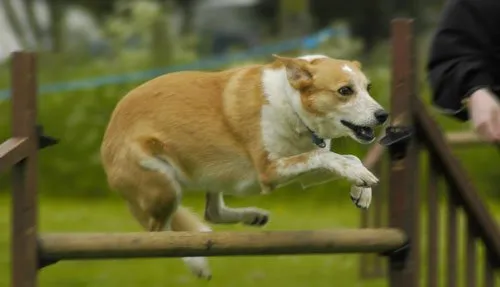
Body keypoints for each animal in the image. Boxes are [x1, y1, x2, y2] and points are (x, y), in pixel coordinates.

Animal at [100, 53, 386, 280]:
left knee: (211, 213)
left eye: (368, 87)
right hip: (163, 184)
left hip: (210, 174)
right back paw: (197, 263)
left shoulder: (305, 172)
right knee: (159, 234)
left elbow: (345, 158)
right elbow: (325, 157)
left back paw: (252, 216)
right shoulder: (269, 170)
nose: (383, 115)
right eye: (345, 91)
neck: (291, 104)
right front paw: (360, 178)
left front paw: (361, 188)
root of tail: (106, 139)